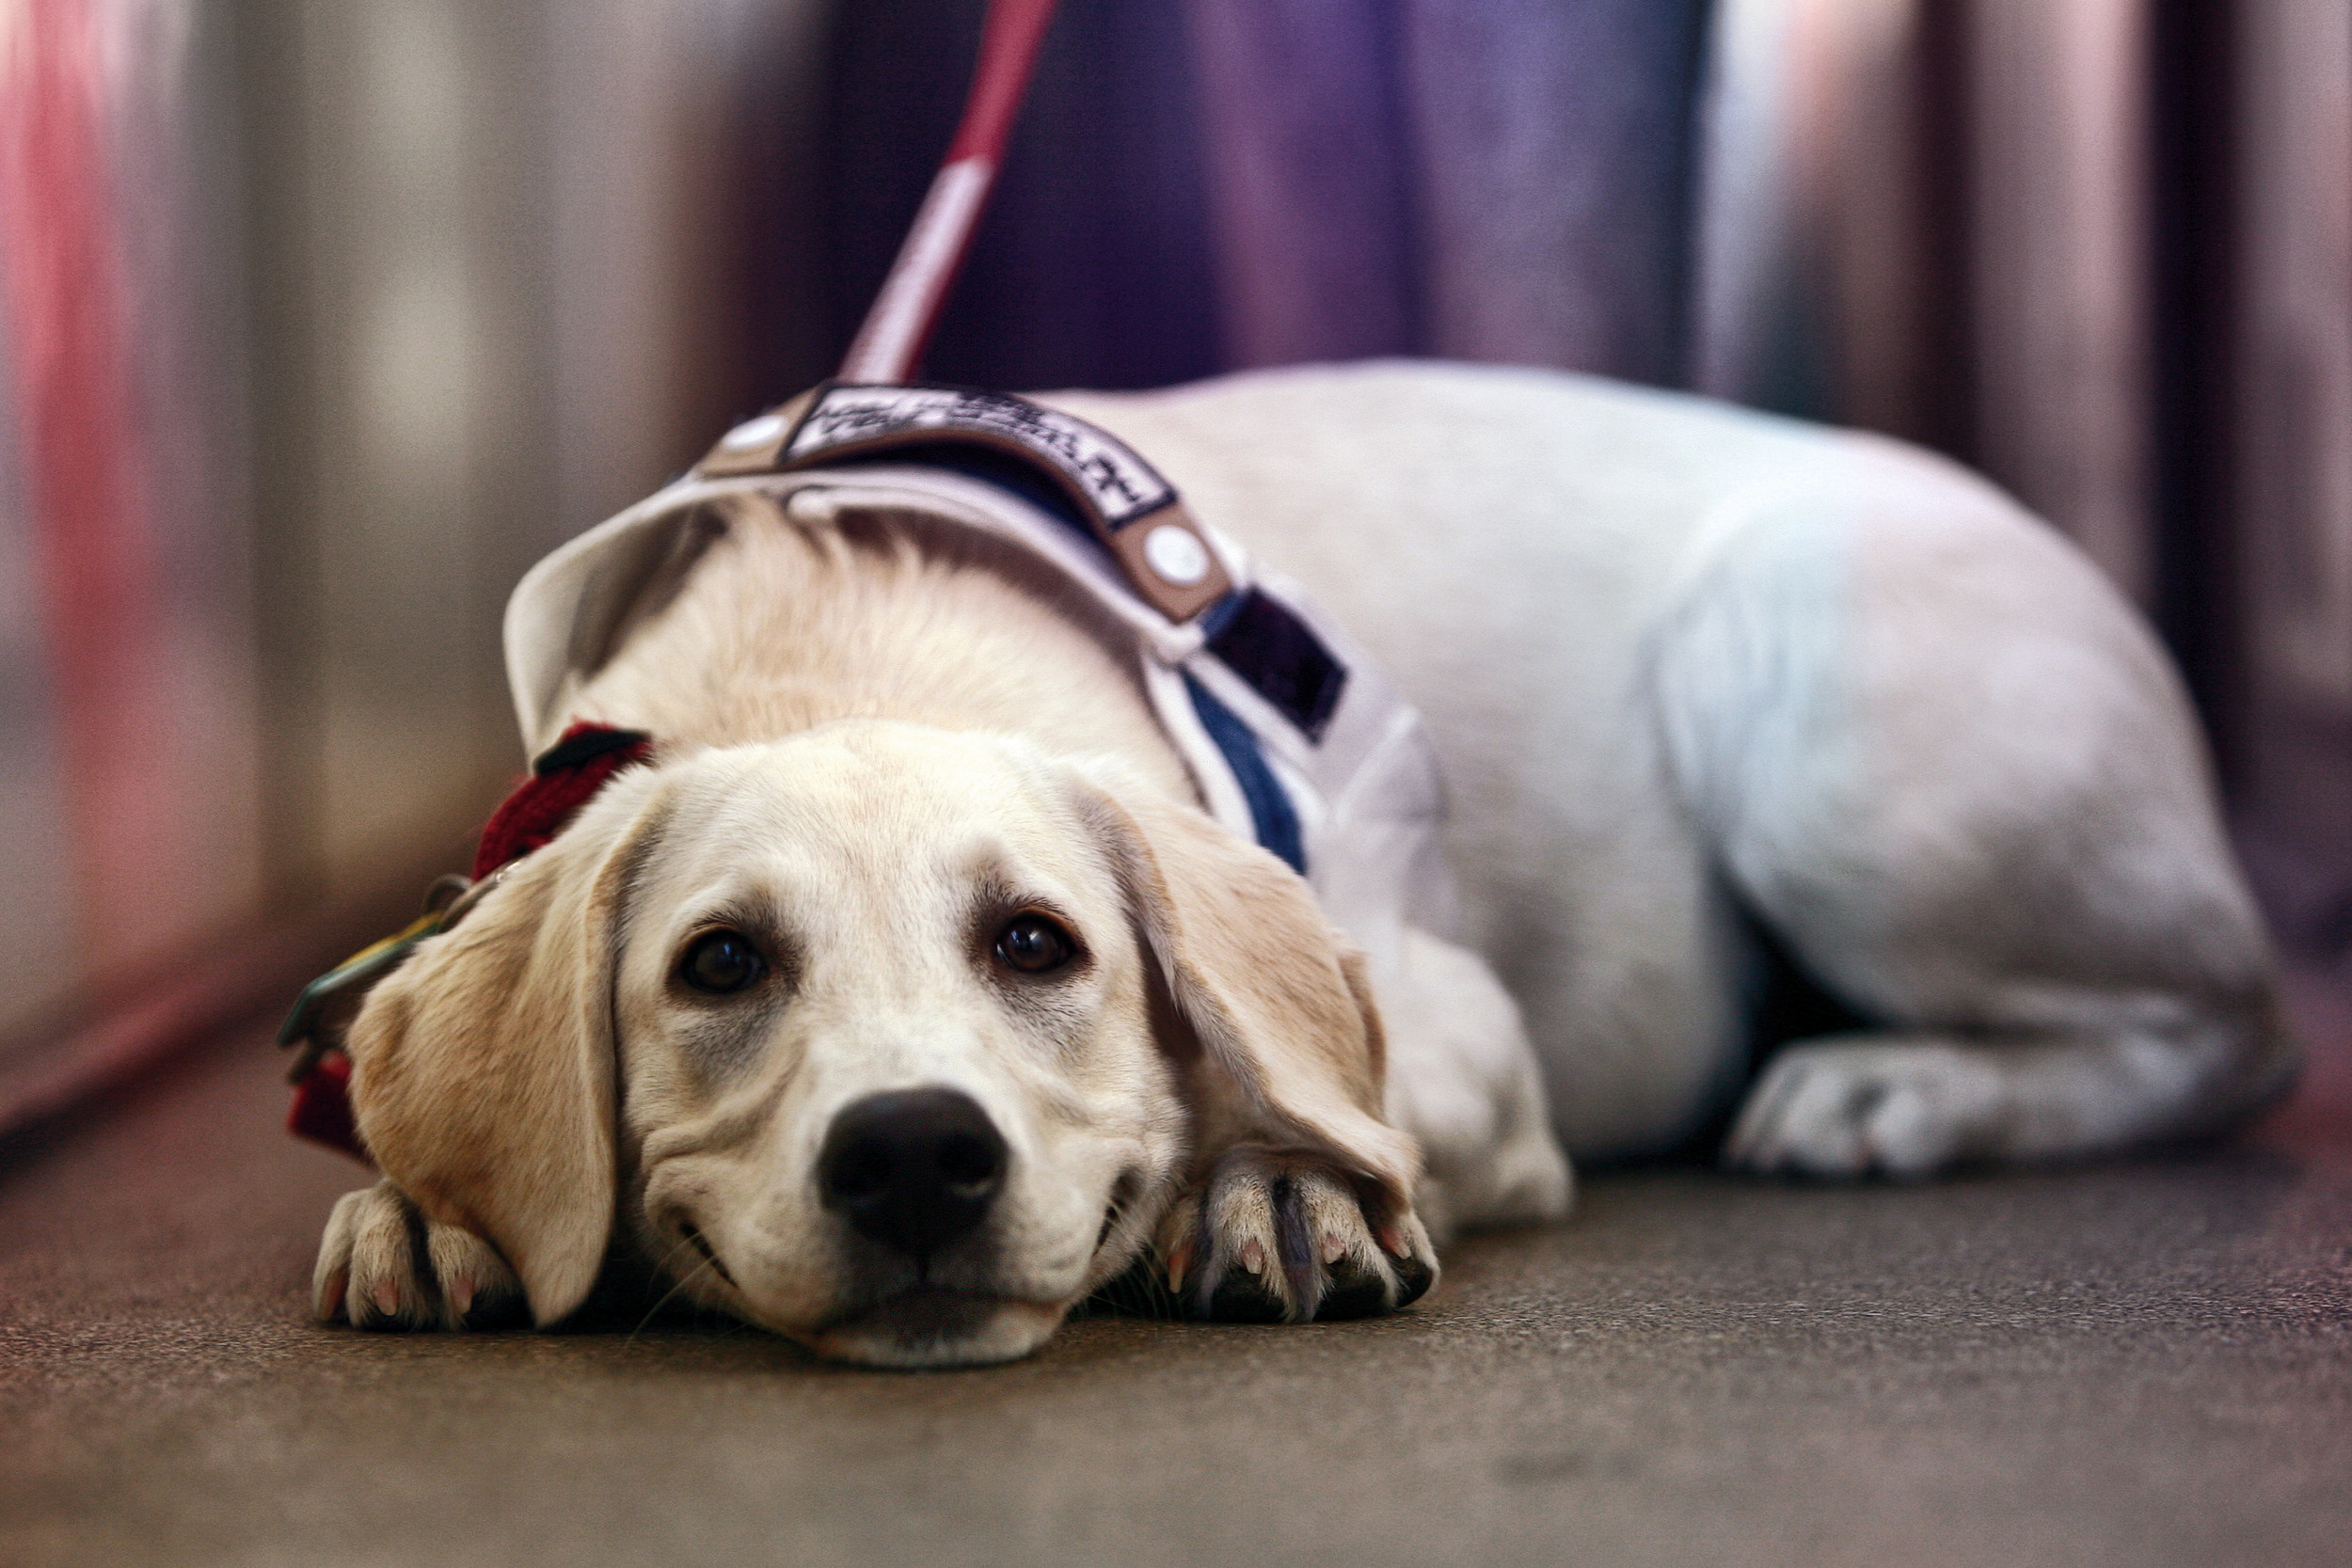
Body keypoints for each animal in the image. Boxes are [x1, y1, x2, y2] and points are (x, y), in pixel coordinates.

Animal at [303, 361, 2286, 1363]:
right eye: (719, 964)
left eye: (1040, 944)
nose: (917, 1155)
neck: (848, 644)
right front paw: (429, 1204)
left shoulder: (1460, 1028)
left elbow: (1308, 1097)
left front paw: (1275, 1188)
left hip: (1809, 713)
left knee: (2232, 1030)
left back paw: (1899, 1088)